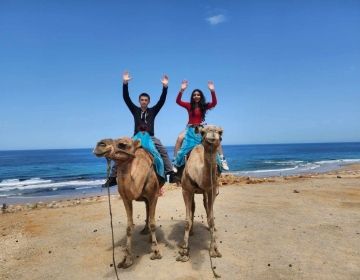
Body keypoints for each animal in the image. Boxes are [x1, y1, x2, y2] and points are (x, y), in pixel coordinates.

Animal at [93, 137, 162, 268]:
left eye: (122, 144)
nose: (100, 144)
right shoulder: (126, 198)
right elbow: (129, 227)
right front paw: (127, 259)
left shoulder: (154, 195)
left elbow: (153, 223)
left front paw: (156, 252)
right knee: (147, 209)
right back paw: (145, 231)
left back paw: (150, 238)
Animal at [176, 125, 224, 262]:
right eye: (203, 132)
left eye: (220, 132)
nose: (212, 133)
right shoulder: (186, 190)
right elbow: (187, 220)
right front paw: (184, 251)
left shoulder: (211, 189)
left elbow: (211, 218)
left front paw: (213, 249)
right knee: (193, 206)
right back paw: (191, 231)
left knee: (205, 205)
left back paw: (211, 229)